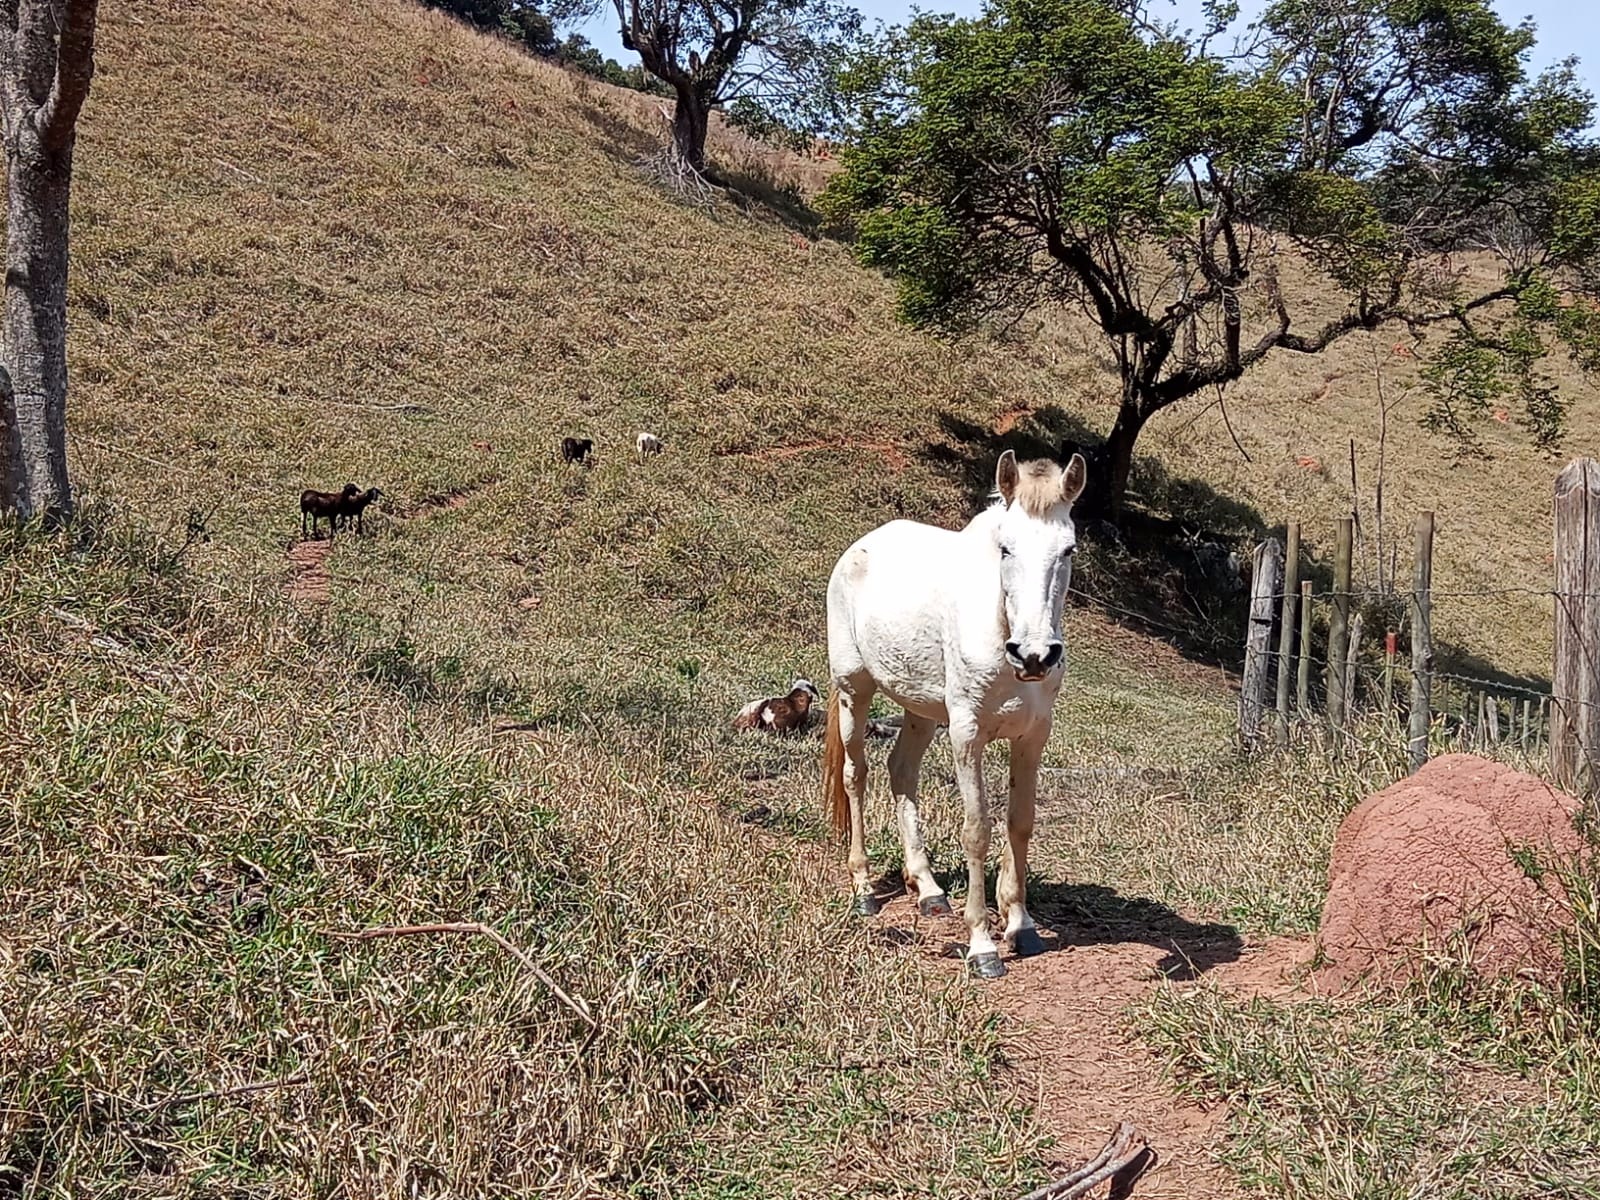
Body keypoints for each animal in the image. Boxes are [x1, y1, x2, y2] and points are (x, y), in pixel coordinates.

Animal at [825, 448, 1088, 979]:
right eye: (1005, 549)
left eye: (1068, 550)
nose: (1034, 655)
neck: (999, 627)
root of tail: (859, 548)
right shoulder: (967, 734)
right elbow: (977, 829)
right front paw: (982, 944)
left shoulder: (1033, 736)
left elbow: (1020, 822)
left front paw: (1021, 926)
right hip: (853, 691)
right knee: (856, 775)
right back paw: (863, 890)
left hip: (920, 710)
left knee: (901, 772)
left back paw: (927, 889)